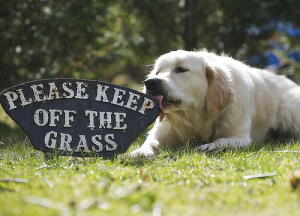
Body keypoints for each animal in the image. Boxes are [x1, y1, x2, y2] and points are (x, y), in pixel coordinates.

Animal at [130, 49, 300, 156]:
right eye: (158, 72)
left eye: (181, 69)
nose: (150, 83)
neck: (196, 119)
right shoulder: (160, 134)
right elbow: (150, 143)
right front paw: (139, 152)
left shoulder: (241, 137)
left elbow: (221, 140)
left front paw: (209, 146)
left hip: (289, 110)